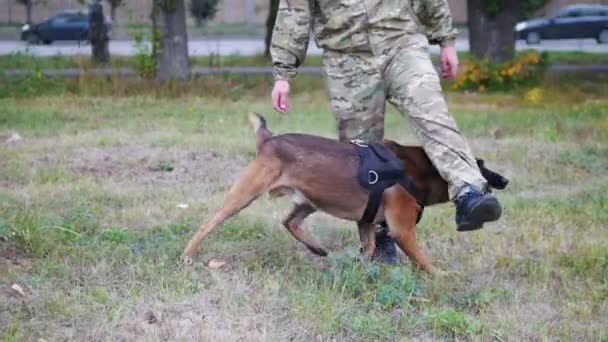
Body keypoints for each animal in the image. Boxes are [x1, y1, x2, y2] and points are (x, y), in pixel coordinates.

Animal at [182, 113, 508, 274]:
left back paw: (316, 248)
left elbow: (369, 249)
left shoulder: (366, 222)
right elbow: (422, 261)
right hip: (243, 196)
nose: (504, 180)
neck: (417, 168)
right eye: (480, 165)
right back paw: (187, 254)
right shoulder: (402, 230)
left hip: (311, 199)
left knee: (289, 221)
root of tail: (269, 140)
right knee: (209, 222)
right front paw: (440, 277)